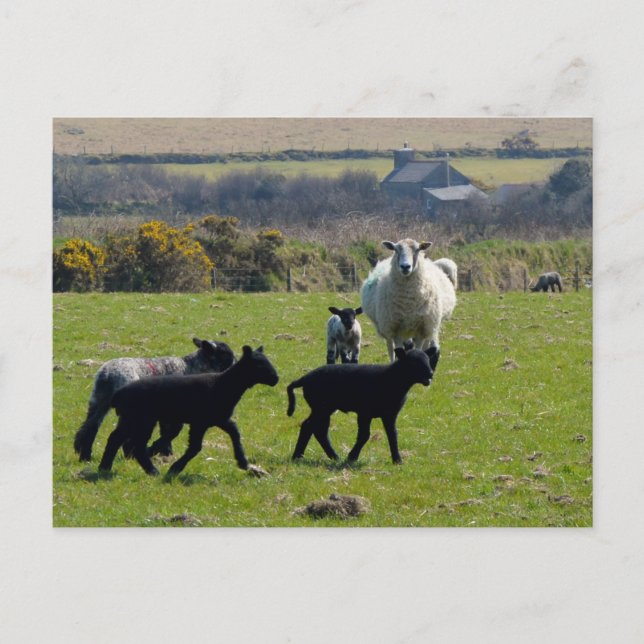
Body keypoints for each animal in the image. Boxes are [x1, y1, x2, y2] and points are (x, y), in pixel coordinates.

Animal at [73, 337, 235, 462]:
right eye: (226, 354)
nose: (236, 366)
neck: (191, 367)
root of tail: (108, 375)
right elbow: (173, 431)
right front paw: (157, 450)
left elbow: (167, 431)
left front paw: (166, 453)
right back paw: (130, 455)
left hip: (98, 401)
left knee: (89, 428)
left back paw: (85, 456)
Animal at [98, 345, 279, 477]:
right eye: (259, 364)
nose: (276, 379)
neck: (223, 385)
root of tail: (119, 394)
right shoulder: (200, 422)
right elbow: (195, 447)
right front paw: (175, 468)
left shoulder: (219, 419)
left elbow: (235, 432)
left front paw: (243, 462)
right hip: (141, 418)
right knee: (135, 444)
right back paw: (152, 471)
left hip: (132, 418)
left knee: (116, 439)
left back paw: (105, 467)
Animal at [287, 346, 439, 464]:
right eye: (413, 362)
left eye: (427, 359)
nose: (430, 374)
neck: (392, 379)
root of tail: (304, 378)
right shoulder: (364, 412)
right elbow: (364, 435)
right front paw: (352, 457)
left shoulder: (390, 414)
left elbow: (393, 435)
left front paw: (397, 460)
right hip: (321, 407)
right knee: (312, 428)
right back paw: (306, 456)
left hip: (323, 408)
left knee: (314, 429)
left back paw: (321, 457)